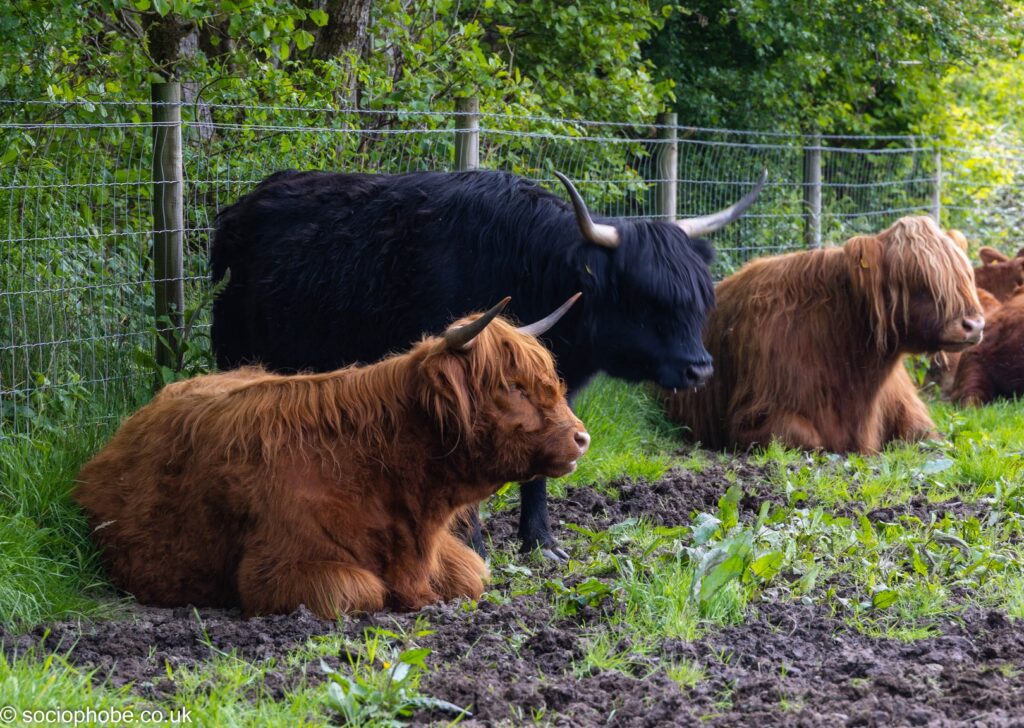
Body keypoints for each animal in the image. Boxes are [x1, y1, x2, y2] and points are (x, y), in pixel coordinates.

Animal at [209, 168, 766, 560]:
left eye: (700, 297)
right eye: (648, 299)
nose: (699, 369)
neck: (528, 268)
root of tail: (240, 209)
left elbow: (542, 470)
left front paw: (541, 543)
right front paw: (474, 546)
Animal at [662, 216, 984, 453]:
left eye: (965, 275)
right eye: (917, 279)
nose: (974, 324)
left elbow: (930, 438)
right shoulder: (752, 417)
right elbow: (807, 438)